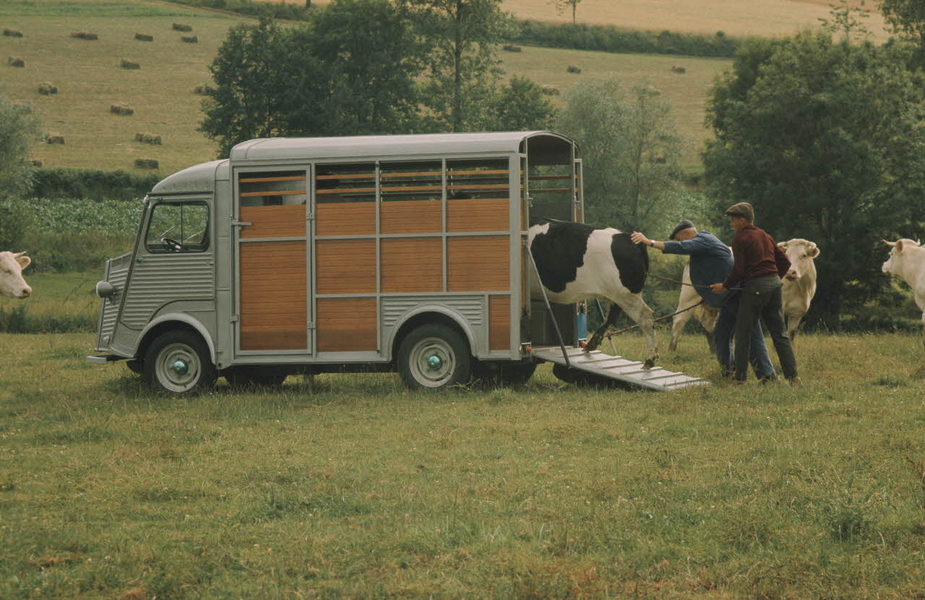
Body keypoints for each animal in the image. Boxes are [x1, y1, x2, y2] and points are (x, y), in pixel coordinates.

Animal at [528, 221, 656, 368]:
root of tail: (629, 237)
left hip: (626, 294)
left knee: (646, 317)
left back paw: (650, 359)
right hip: (616, 294)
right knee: (612, 315)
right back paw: (591, 344)